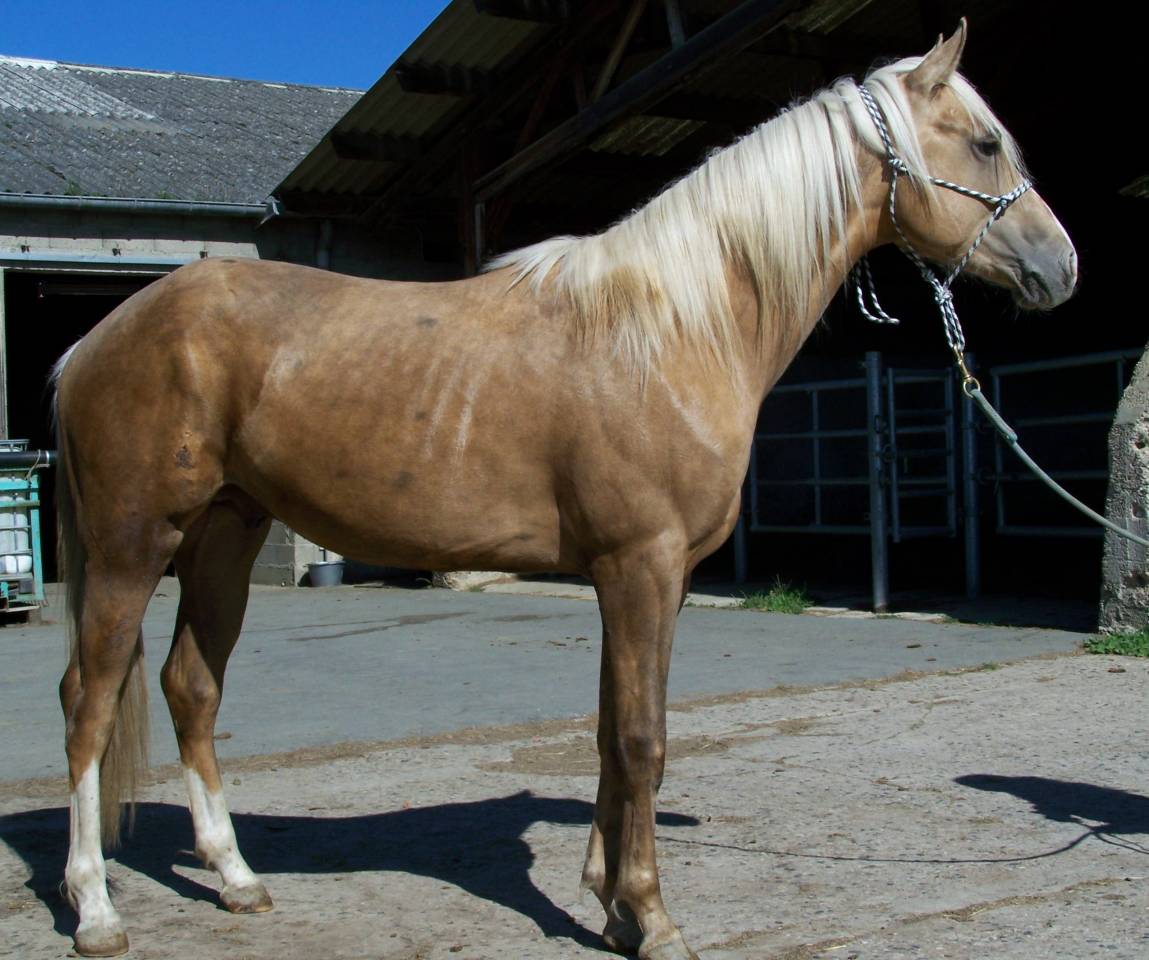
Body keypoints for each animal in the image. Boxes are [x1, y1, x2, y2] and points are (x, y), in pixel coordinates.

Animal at [52, 22, 1075, 959]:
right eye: (984, 143)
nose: (1062, 266)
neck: (670, 326)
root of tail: (96, 339)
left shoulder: (639, 578)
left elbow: (609, 729)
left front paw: (609, 902)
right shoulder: (640, 566)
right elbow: (643, 738)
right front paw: (653, 920)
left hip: (223, 536)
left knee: (191, 689)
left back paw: (235, 879)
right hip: (134, 544)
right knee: (88, 701)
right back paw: (96, 911)